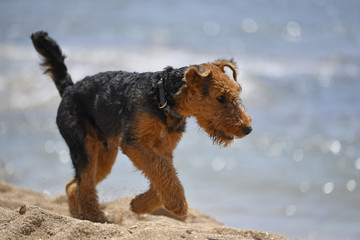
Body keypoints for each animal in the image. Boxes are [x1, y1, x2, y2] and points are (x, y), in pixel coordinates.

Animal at [31, 31, 252, 222]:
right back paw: (96, 217)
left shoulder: (163, 149)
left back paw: (80, 216)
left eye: (236, 93)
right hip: (83, 146)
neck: (163, 98)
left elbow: (163, 175)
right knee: (83, 184)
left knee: (74, 185)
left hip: (104, 155)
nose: (247, 128)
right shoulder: (134, 142)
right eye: (221, 98)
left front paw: (139, 205)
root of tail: (69, 89)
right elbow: (162, 170)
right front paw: (177, 203)